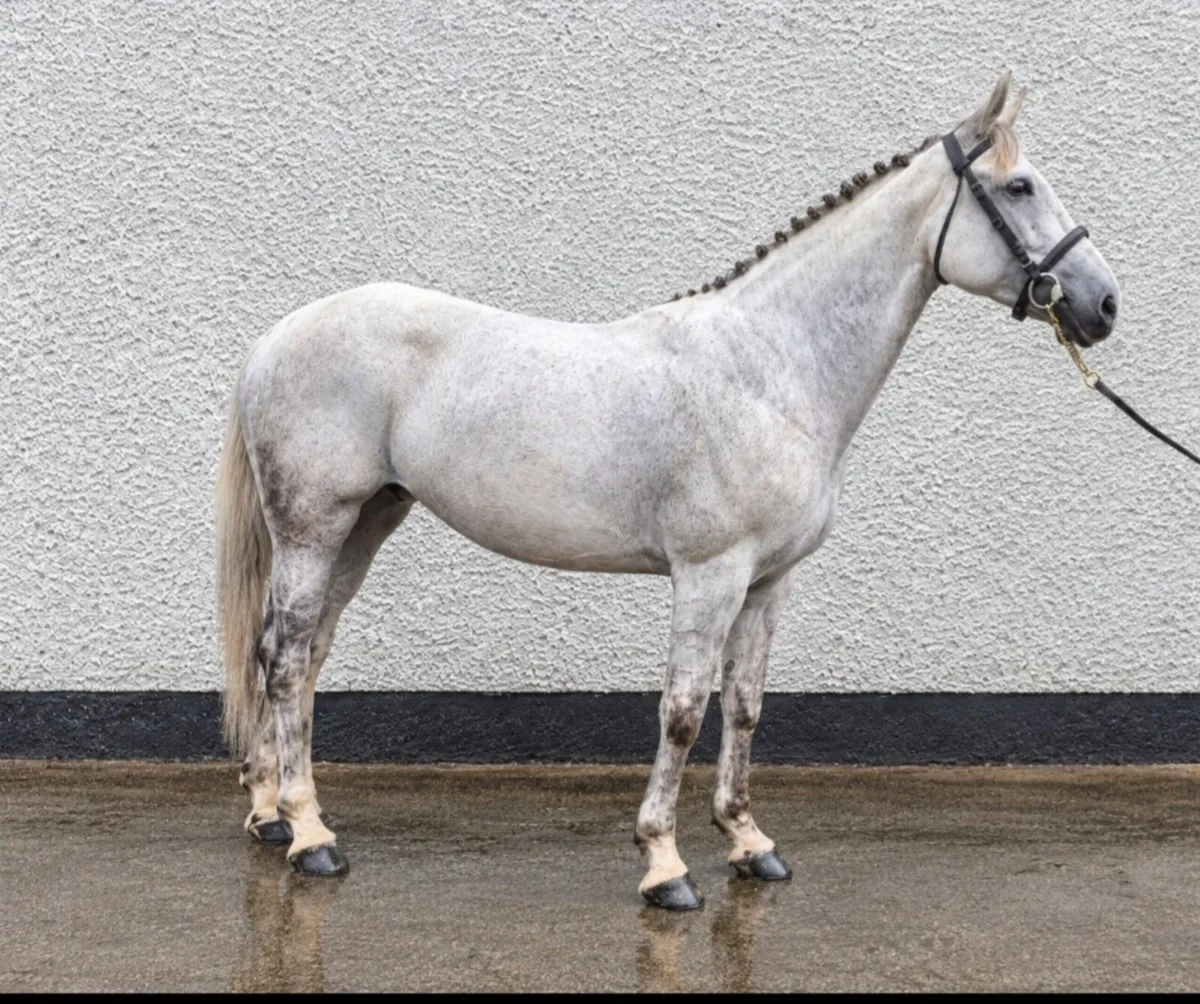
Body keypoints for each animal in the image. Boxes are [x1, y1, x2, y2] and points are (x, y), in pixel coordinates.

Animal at [215, 72, 1119, 910]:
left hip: (367, 522)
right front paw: (665, 864)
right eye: (1019, 186)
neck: (770, 368)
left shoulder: (768, 580)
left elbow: (745, 706)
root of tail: (276, 337)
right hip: (312, 526)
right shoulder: (710, 573)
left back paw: (272, 814)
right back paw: (311, 837)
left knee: (297, 653)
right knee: (286, 659)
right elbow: (683, 709)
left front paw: (750, 844)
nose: (1102, 304)